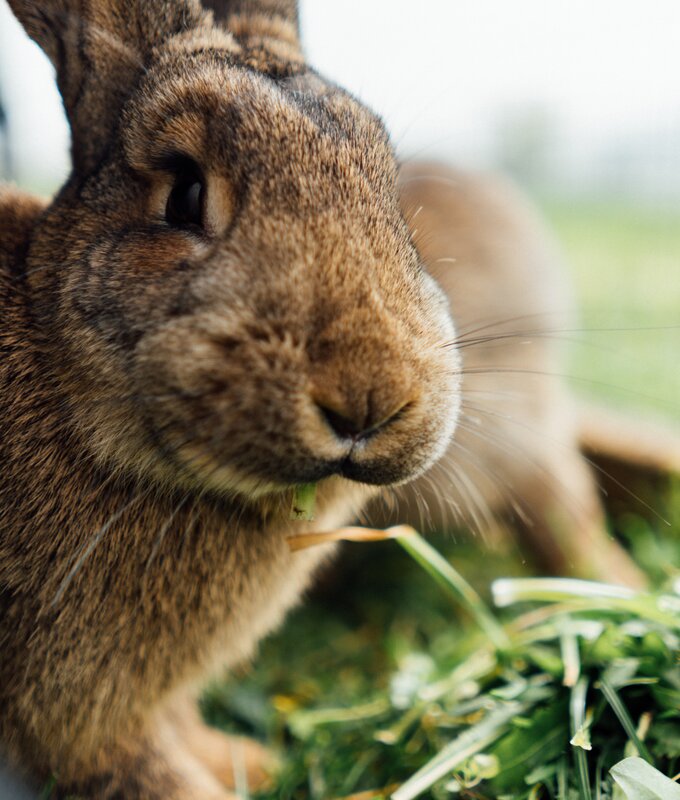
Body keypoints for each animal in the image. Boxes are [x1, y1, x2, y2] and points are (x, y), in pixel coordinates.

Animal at [0, 0, 462, 796]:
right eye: (184, 192)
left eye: (387, 189)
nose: (370, 397)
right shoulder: (74, 712)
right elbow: (141, 767)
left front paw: (251, 763)